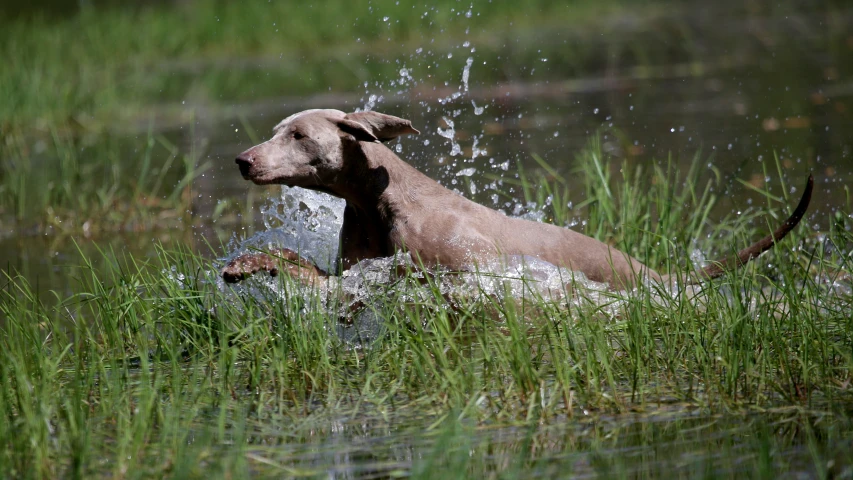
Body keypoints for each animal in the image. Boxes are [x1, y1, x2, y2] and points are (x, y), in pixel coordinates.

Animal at [221, 109, 812, 288]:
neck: (379, 200)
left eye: (298, 134)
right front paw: (248, 264)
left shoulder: (464, 261)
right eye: (277, 131)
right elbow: (299, 266)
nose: (243, 160)